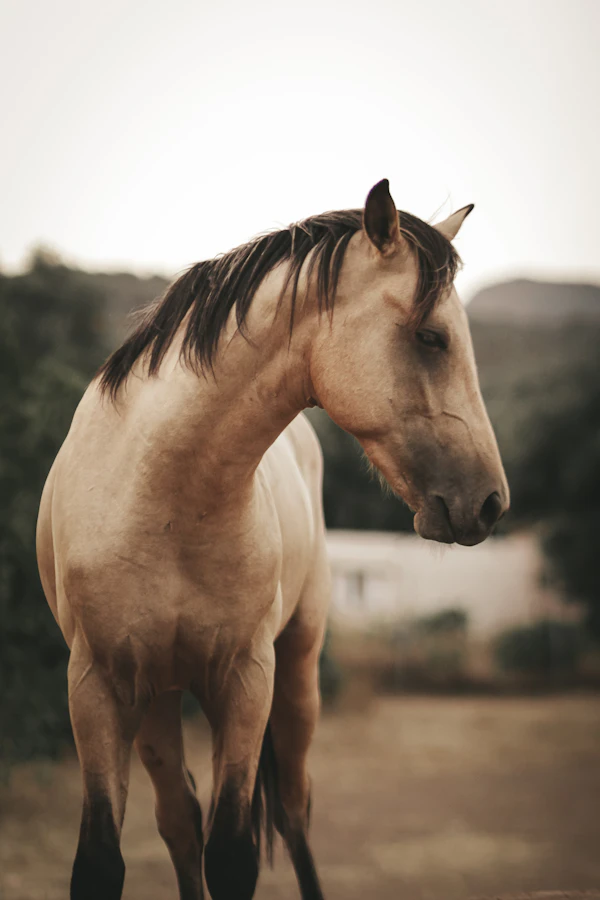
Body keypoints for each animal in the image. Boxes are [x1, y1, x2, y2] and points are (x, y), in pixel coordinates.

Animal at [36, 178, 509, 900]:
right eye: (431, 337)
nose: (490, 502)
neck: (163, 496)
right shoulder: (97, 686)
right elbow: (103, 861)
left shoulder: (246, 678)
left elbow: (233, 852)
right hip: (157, 699)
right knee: (179, 819)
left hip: (296, 669)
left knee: (290, 810)